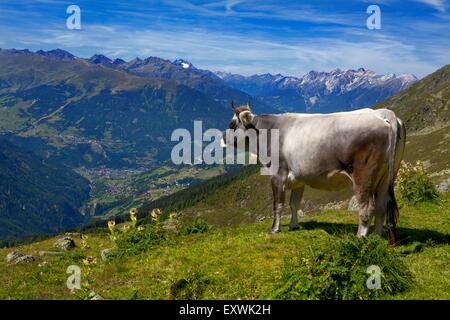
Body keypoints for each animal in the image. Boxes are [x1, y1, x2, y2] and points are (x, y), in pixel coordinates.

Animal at [222, 102, 408, 245]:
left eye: (232, 125)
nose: (223, 138)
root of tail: (383, 114)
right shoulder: (298, 180)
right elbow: (294, 204)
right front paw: (294, 226)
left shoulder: (277, 175)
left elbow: (278, 205)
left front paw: (274, 229)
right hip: (385, 177)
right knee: (381, 207)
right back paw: (376, 237)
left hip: (363, 175)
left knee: (367, 208)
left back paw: (360, 238)